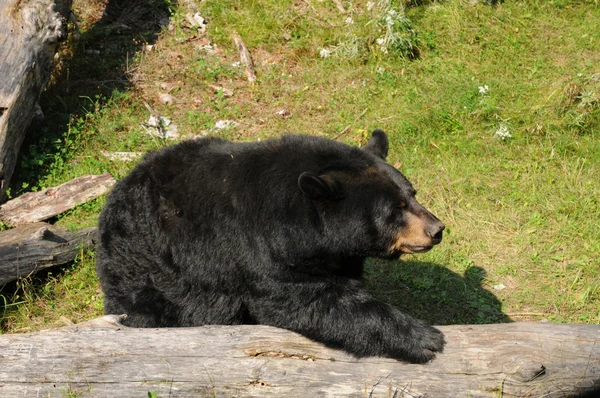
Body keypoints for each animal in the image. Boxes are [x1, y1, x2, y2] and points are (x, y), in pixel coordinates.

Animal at [96, 131, 446, 364]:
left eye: (412, 194)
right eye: (395, 210)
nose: (436, 229)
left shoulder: (335, 255)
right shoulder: (264, 252)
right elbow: (310, 301)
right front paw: (424, 338)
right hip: (148, 269)